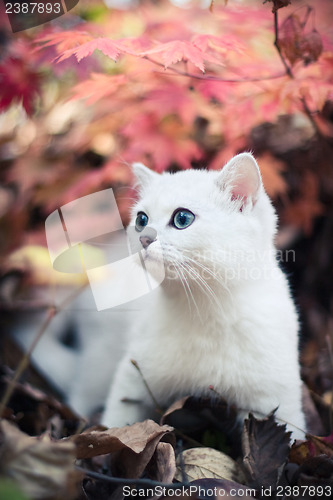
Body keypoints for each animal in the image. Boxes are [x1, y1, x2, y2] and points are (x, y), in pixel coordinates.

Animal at [102, 152, 304, 438]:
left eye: (182, 219)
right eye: (141, 220)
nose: (144, 239)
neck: (202, 309)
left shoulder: (276, 399)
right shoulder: (130, 381)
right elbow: (114, 423)